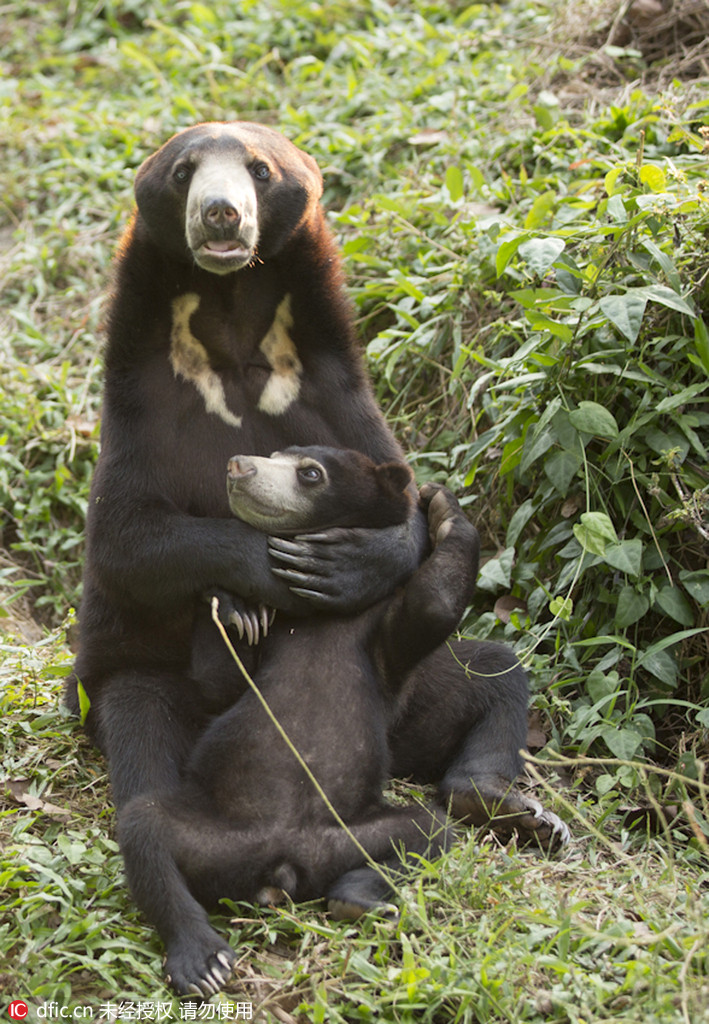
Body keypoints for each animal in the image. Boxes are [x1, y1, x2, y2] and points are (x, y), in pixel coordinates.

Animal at [66, 117, 565, 942]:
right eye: (184, 172)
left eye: (259, 171)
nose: (221, 216)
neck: (230, 317)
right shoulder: (139, 398)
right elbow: (124, 536)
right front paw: (252, 584)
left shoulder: (329, 381)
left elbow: (404, 501)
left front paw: (352, 564)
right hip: (138, 679)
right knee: (142, 736)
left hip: (412, 708)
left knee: (492, 675)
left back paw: (504, 806)